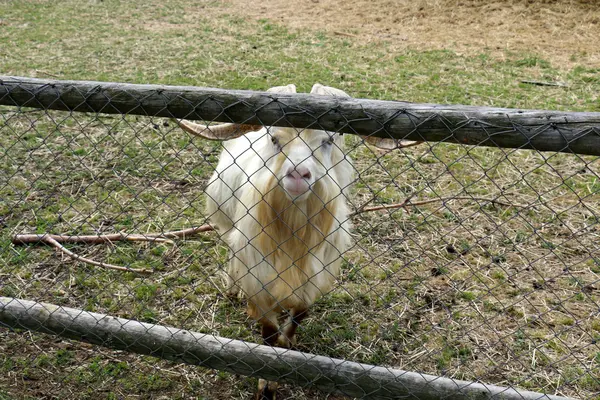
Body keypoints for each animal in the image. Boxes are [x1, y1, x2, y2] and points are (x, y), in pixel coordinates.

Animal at [178, 83, 356, 398]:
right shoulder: (256, 276)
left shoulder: (313, 274)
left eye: (328, 140)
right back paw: (231, 289)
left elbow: (298, 316)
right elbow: (269, 334)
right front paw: (267, 385)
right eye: (275, 139)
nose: (298, 174)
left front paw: (289, 346)